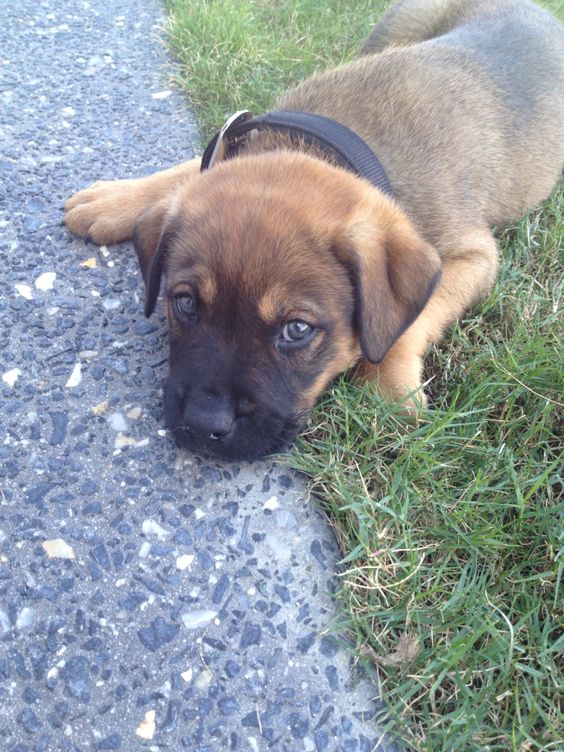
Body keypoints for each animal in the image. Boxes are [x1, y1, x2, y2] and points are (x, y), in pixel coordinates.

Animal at [64, 0, 560, 462]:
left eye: (297, 329)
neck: (341, 141)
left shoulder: (476, 256)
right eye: (184, 303)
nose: (204, 427)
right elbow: (190, 167)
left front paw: (385, 388)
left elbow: (413, 319)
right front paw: (115, 198)